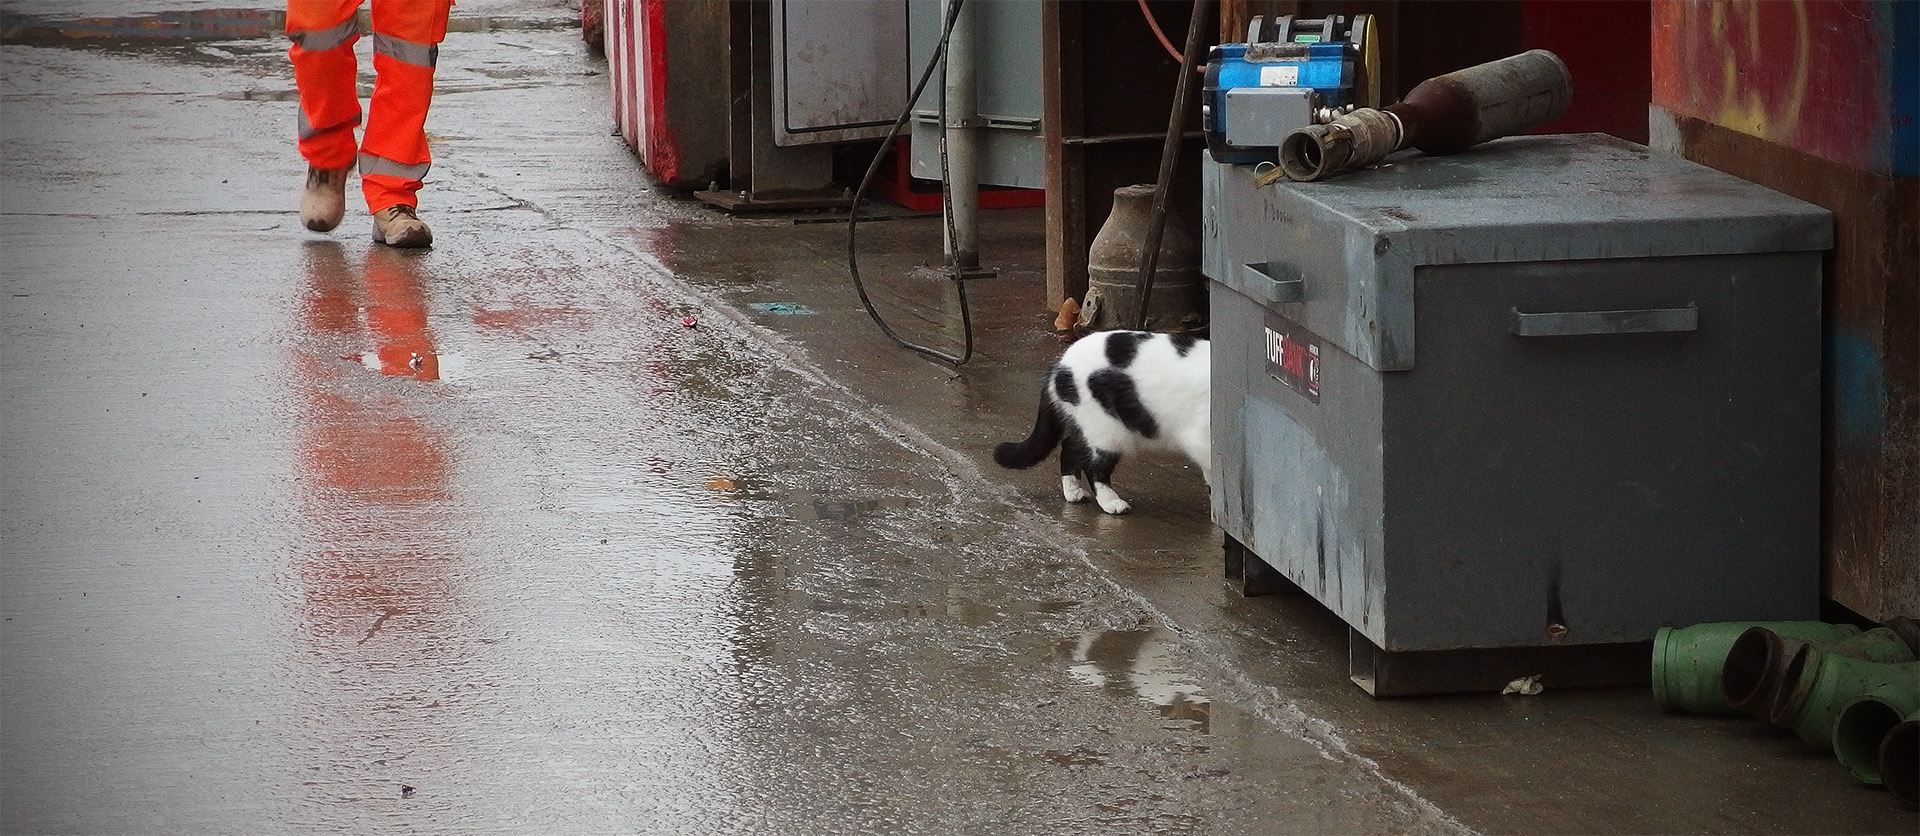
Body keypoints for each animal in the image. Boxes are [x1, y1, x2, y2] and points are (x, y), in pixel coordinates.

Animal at [998, 330, 1205, 515]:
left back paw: (1074, 492)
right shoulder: (1199, 440)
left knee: (1070, 446)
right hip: (1107, 430)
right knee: (1094, 466)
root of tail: (1059, 363)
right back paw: (1110, 501)